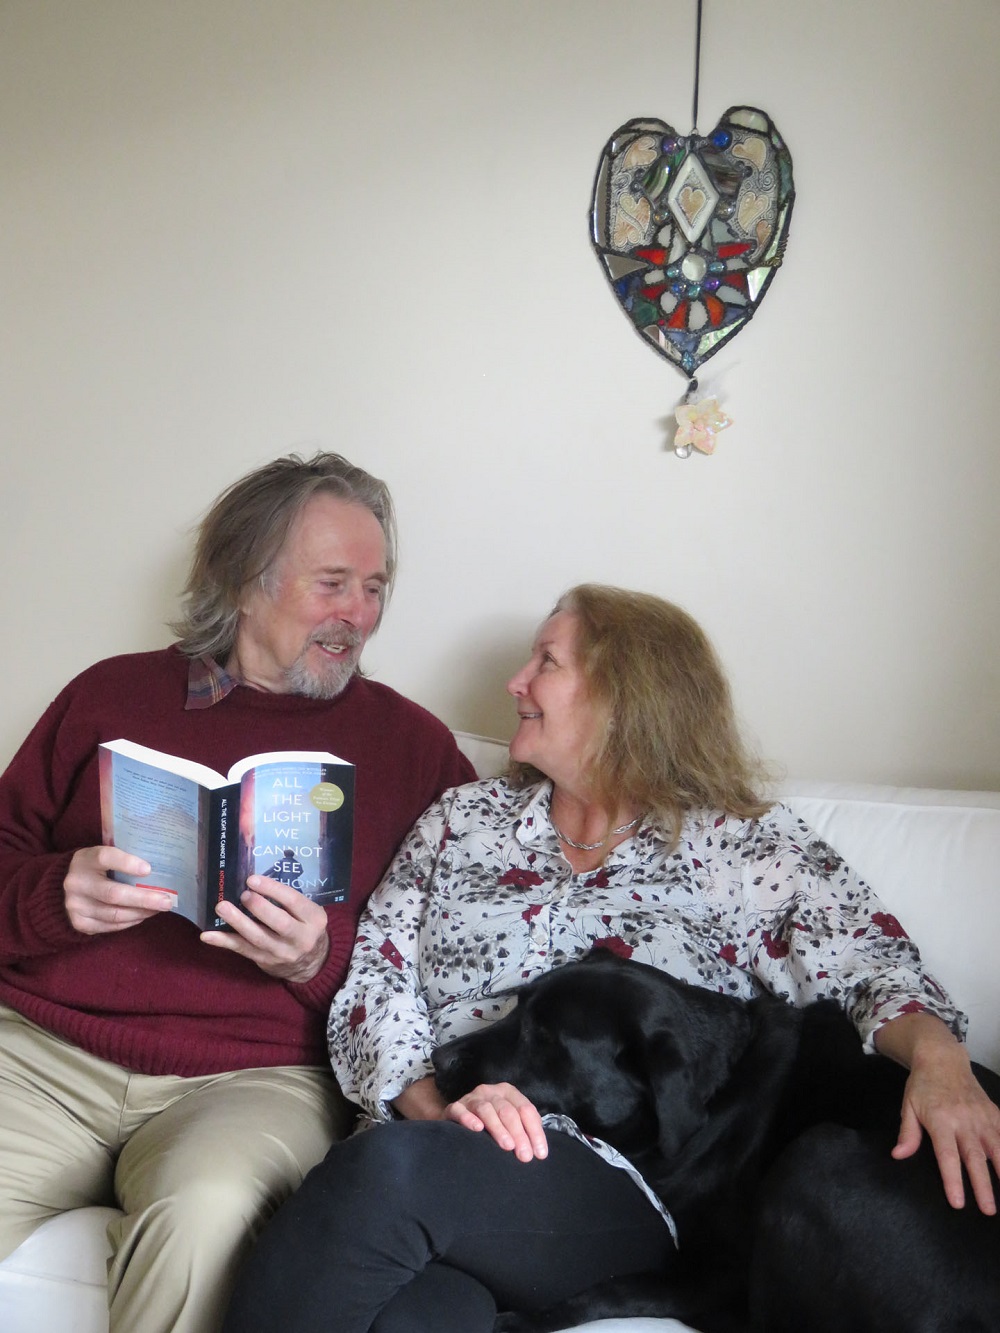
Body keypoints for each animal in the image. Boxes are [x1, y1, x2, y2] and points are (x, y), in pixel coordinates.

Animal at [432, 949, 1000, 1333]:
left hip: (816, 1155)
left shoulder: (717, 1270)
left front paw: (521, 1319)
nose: (437, 1060)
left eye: (546, 1038)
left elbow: (614, 1289)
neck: (722, 1082)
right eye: (516, 1005)